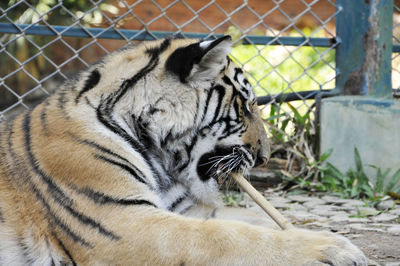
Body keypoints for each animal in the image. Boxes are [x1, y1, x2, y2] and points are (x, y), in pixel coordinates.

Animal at [0, 36, 368, 264]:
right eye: (245, 106)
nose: (265, 156)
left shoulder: (182, 210)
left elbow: (253, 221)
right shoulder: (124, 221)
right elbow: (231, 237)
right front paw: (332, 248)